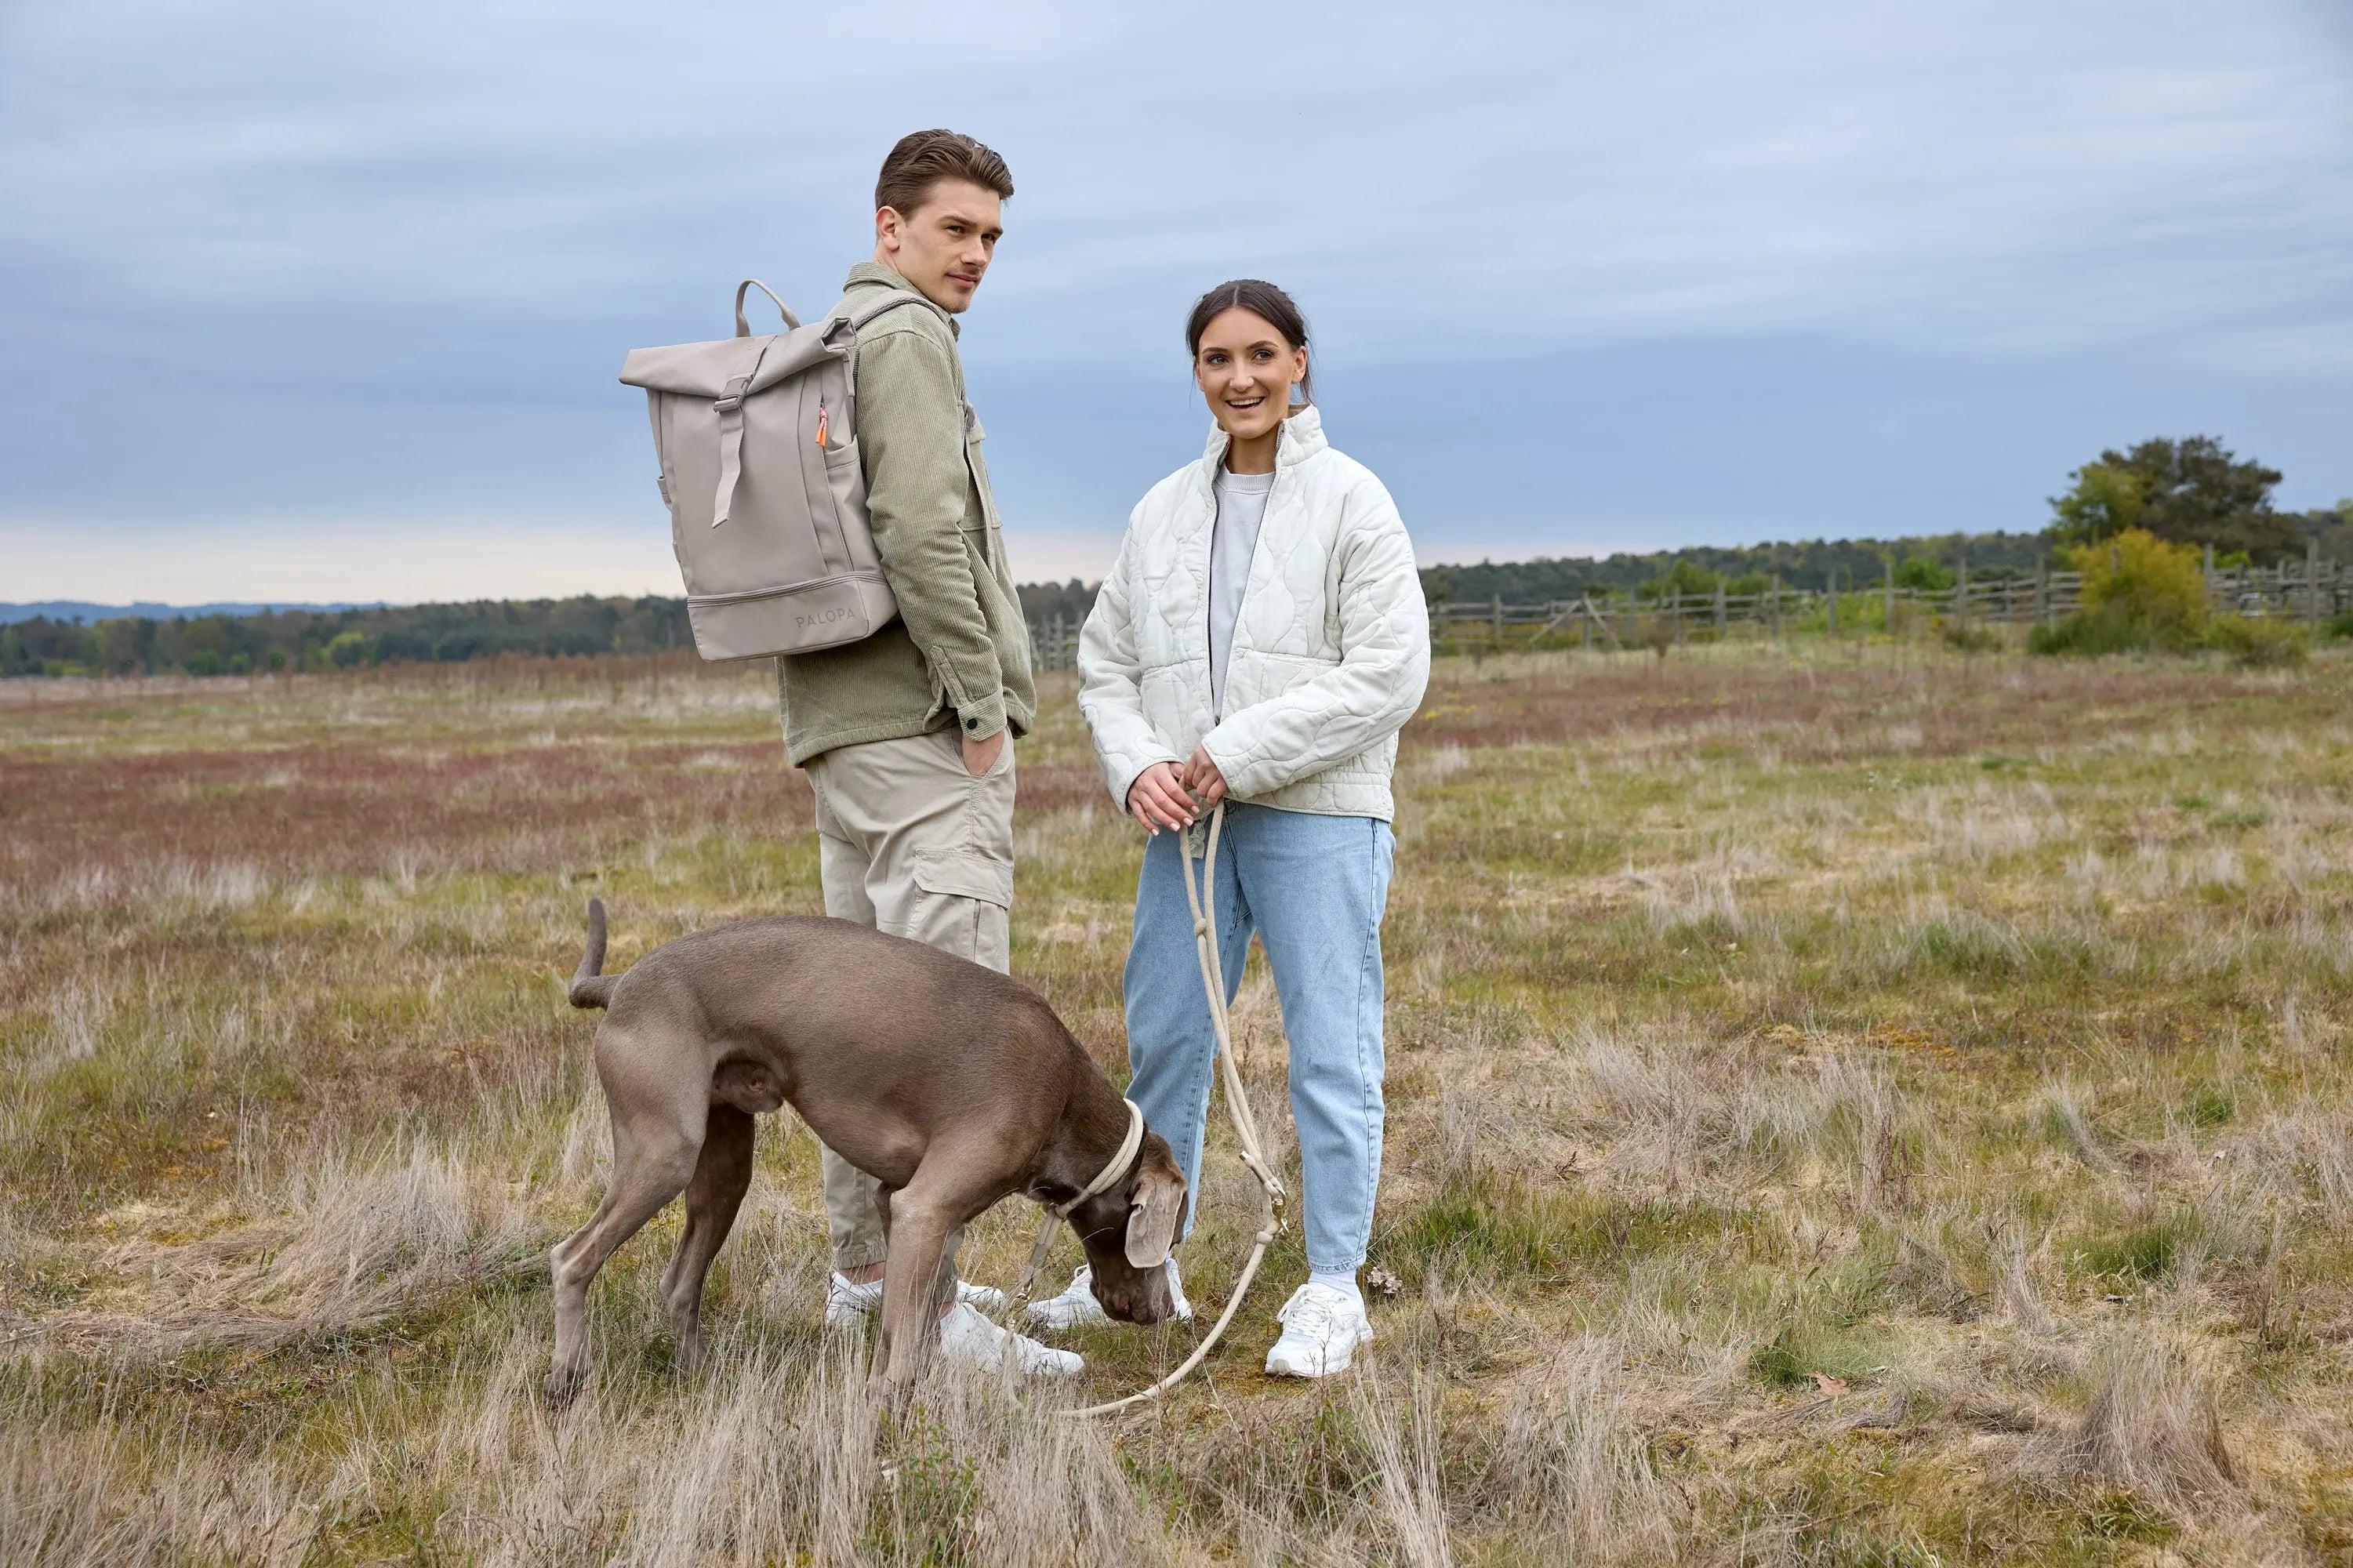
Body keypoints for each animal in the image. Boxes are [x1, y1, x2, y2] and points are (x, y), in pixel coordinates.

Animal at [543, 899, 1186, 1393]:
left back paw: (703, 1374)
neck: (1065, 1099)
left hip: (725, 1166)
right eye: (1170, 1238)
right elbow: (899, 1356)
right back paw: (566, 1378)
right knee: (571, 1258)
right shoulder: (923, 1209)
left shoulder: (899, 1204)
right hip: (665, 1152)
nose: (1161, 1313)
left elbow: (910, 1330)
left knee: (679, 1284)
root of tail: (622, 983)